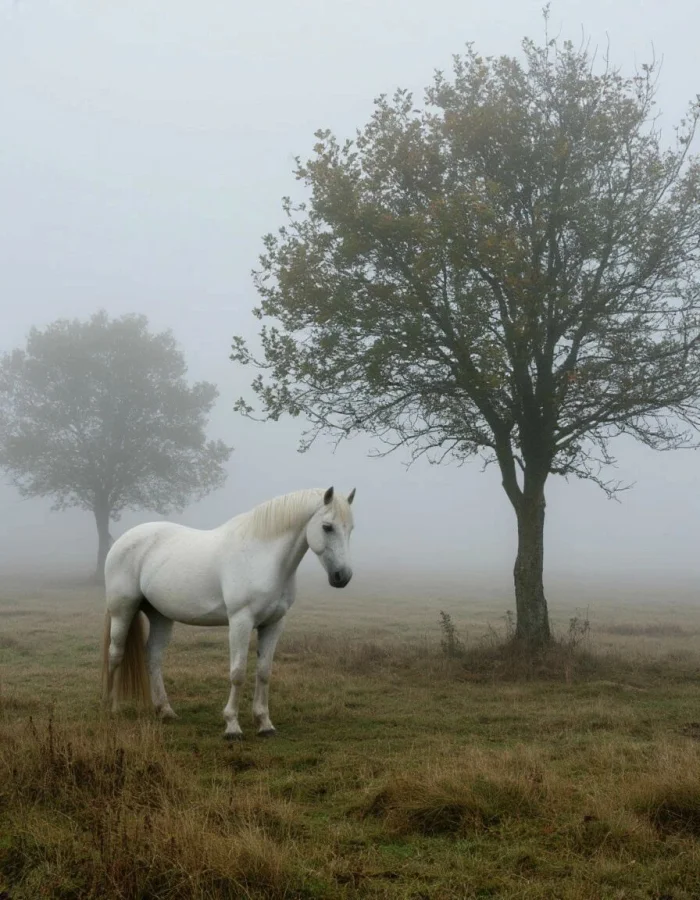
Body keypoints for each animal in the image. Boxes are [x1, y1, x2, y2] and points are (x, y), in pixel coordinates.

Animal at [101, 485, 355, 739]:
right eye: (327, 527)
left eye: (350, 528)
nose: (342, 577)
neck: (261, 556)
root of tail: (123, 540)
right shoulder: (240, 621)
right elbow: (238, 672)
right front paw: (232, 726)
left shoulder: (274, 623)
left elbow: (264, 672)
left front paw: (265, 723)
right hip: (123, 610)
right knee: (116, 654)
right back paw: (112, 708)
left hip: (160, 616)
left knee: (153, 657)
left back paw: (165, 711)